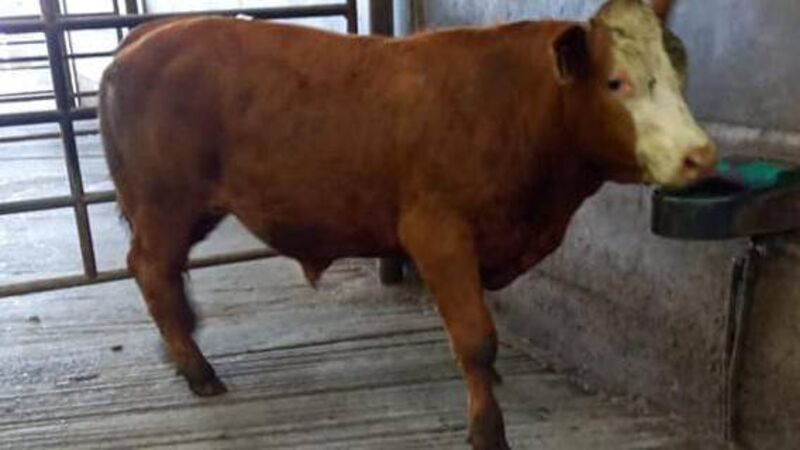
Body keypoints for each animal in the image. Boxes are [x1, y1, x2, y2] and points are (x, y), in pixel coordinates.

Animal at [98, 0, 715, 448]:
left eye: (679, 74)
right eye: (616, 82)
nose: (700, 155)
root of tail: (149, 34)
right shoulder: (437, 232)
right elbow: (477, 339)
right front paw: (487, 427)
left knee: (165, 274)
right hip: (166, 202)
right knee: (150, 269)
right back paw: (198, 369)